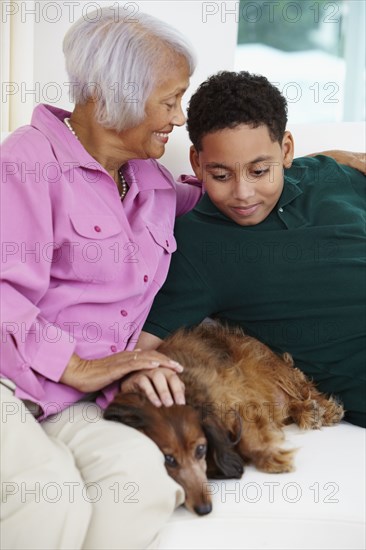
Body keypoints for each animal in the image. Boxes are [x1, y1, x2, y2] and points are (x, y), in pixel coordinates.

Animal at [104, 326, 344, 516]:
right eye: (168, 460)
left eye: (200, 449)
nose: (202, 509)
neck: (188, 393)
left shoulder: (236, 399)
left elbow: (249, 439)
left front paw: (271, 458)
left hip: (268, 366)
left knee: (301, 388)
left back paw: (319, 409)